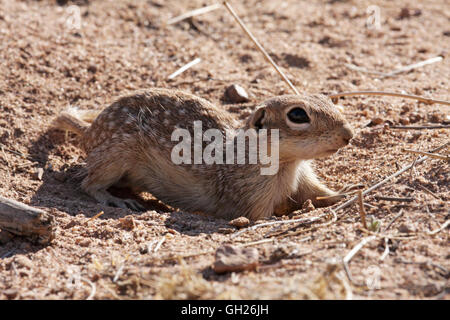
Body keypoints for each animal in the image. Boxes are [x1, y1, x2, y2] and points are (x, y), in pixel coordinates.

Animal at [53, 89, 356, 221]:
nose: (348, 134)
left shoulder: (303, 176)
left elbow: (319, 193)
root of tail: (89, 132)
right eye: (298, 115)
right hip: (116, 155)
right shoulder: (252, 193)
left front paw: (350, 192)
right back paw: (118, 200)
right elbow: (258, 217)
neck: (287, 164)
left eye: (327, 98)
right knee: (89, 184)